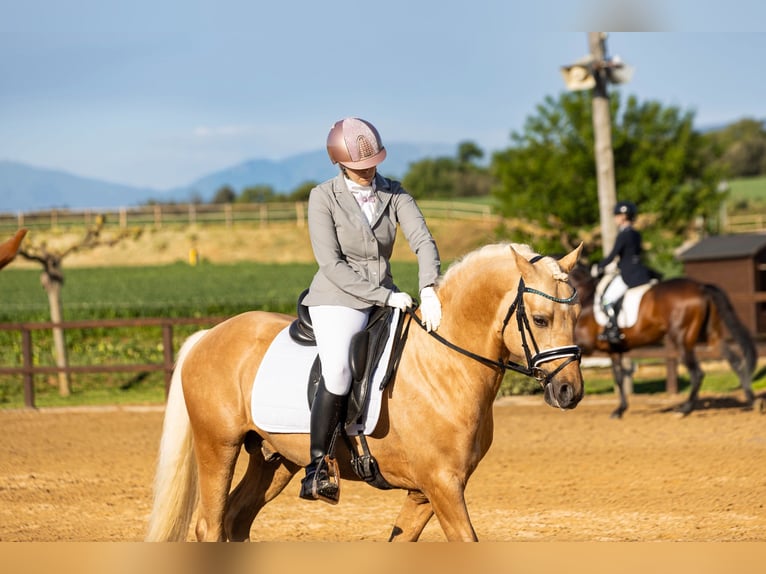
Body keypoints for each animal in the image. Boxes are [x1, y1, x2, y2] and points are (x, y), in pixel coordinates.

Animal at [145, 242, 585, 542]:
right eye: (541, 319)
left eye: (577, 314)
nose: (569, 391)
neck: (444, 366)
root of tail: (208, 335)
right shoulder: (442, 485)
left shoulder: (425, 492)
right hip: (218, 446)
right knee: (210, 526)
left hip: (275, 459)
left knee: (235, 520)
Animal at [568, 265, 757, 418]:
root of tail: (701, 287)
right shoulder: (614, 351)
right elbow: (619, 378)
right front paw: (620, 410)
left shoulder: (585, 344)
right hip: (711, 336)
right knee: (734, 361)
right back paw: (752, 400)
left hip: (682, 339)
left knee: (697, 373)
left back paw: (685, 409)